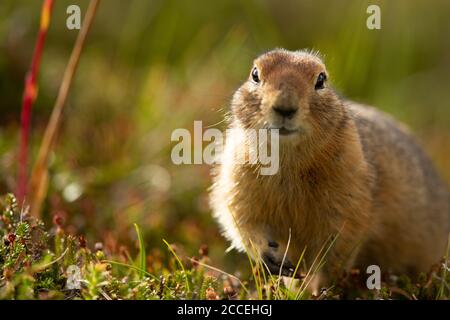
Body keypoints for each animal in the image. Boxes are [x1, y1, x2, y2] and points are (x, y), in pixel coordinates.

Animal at [210, 47, 450, 282]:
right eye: (255, 74)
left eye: (321, 80)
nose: (285, 107)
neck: (287, 159)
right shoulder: (236, 175)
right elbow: (241, 219)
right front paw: (270, 258)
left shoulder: (350, 191)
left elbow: (337, 247)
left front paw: (317, 287)